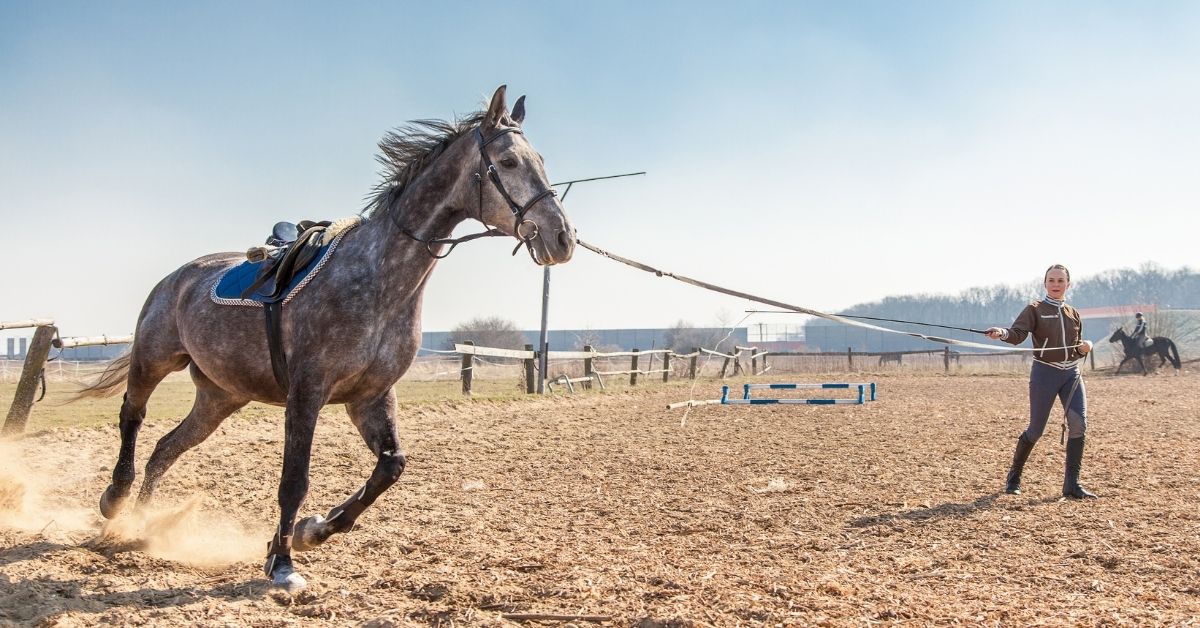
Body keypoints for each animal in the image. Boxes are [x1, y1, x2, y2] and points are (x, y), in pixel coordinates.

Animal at [70, 84, 576, 590]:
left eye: (541, 160)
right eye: (508, 161)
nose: (562, 238)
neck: (378, 279)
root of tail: (177, 276)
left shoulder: (371, 396)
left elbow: (391, 466)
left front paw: (311, 529)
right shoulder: (307, 393)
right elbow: (294, 479)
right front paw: (282, 563)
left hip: (220, 397)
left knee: (165, 449)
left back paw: (142, 524)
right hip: (154, 359)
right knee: (133, 416)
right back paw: (115, 499)